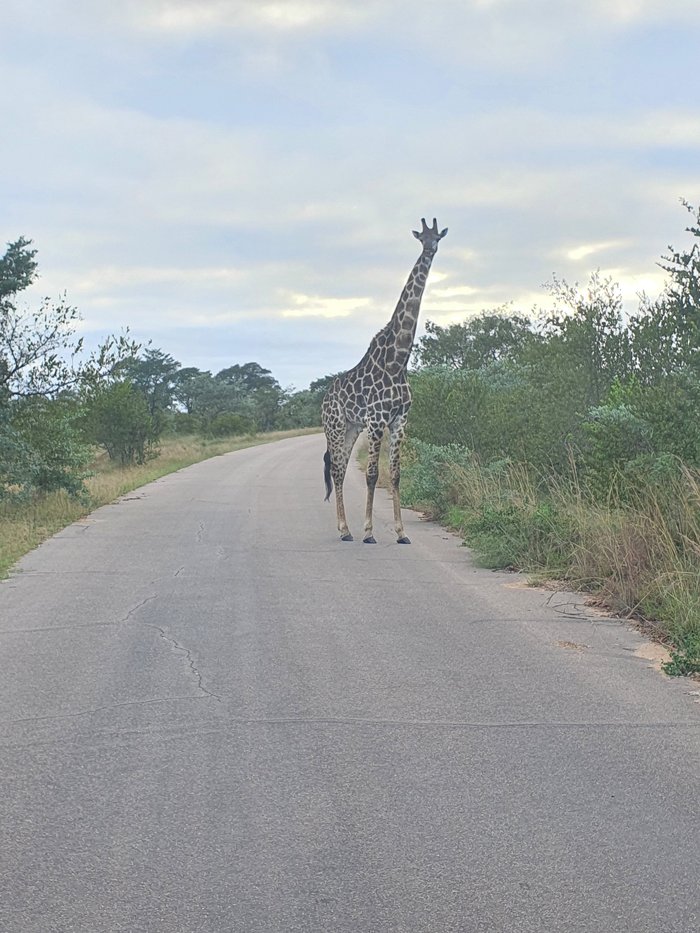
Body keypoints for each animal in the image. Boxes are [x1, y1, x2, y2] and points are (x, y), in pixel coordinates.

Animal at [322, 216, 448, 544]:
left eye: (437, 238)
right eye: (421, 238)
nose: (430, 250)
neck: (398, 359)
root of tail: (324, 398)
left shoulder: (400, 419)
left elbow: (396, 474)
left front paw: (402, 532)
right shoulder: (378, 419)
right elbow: (371, 474)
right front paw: (368, 531)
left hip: (352, 427)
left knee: (340, 470)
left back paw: (344, 528)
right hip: (335, 426)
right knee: (337, 470)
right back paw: (346, 530)